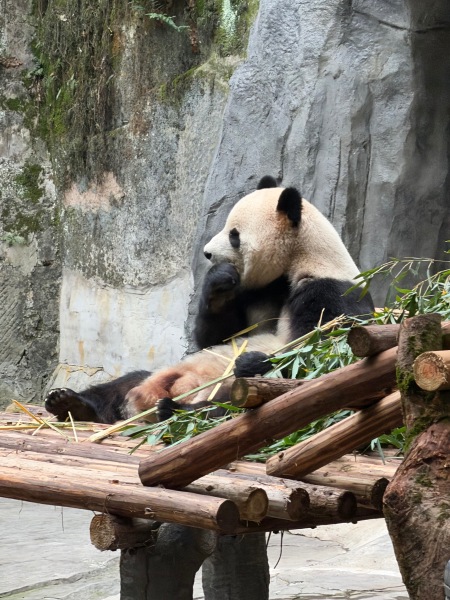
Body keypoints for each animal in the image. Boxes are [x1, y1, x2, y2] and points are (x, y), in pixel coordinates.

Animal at [45, 176, 374, 424]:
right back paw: (73, 404)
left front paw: (251, 361)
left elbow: (321, 356)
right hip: (153, 376)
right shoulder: (260, 289)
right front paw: (218, 282)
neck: (299, 258)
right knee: (123, 383)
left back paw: (174, 411)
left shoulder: (330, 291)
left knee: (226, 407)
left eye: (234, 235)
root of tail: (144, 401)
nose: (207, 253)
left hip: (233, 392)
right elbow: (219, 335)